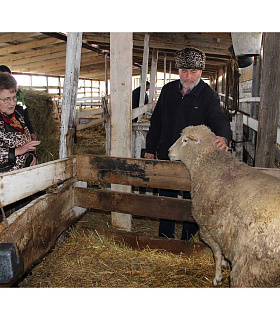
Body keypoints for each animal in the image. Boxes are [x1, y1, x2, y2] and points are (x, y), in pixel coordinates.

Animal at [167, 125, 280, 288]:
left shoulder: (207, 229)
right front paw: (225, 264)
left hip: (249, 268)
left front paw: (218, 277)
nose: (169, 152)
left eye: (185, 140)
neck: (207, 163)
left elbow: (216, 253)